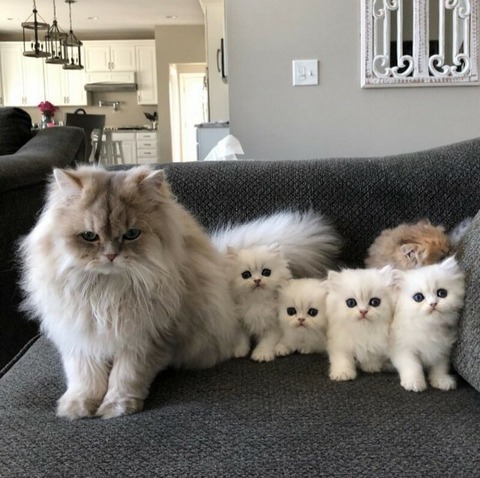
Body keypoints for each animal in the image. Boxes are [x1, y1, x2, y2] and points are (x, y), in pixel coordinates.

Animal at [19, 165, 254, 419]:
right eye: (90, 236)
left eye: (131, 234)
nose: (111, 255)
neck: (106, 291)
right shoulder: (81, 338)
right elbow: (85, 378)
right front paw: (77, 407)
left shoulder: (143, 341)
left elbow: (125, 377)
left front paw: (115, 408)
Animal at [390, 256, 465, 392]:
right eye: (418, 297)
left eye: (442, 293)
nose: (433, 304)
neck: (429, 328)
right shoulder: (403, 349)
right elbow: (412, 366)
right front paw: (414, 383)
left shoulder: (442, 351)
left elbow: (440, 367)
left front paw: (441, 380)